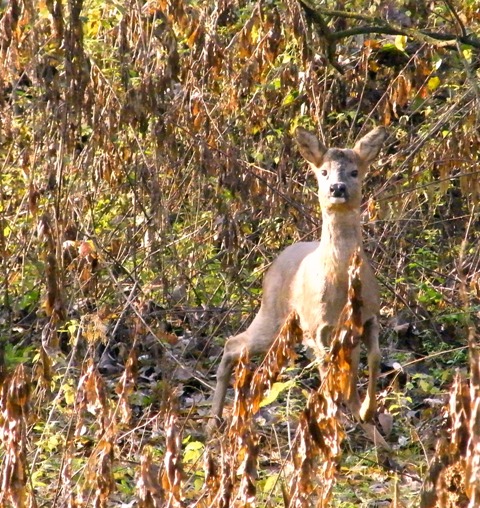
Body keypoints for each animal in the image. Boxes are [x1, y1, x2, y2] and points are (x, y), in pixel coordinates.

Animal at [210, 126, 386, 428]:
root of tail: (276, 262)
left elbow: (374, 357)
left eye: (354, 171)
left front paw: (366, 410)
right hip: (274, 312)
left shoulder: (368, 316)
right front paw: (338, 416)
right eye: (324, 172)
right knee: (234, 344)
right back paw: (213, 420)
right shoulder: (318, 325)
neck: (342, 283)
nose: (337, 188)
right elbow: (330, 370)